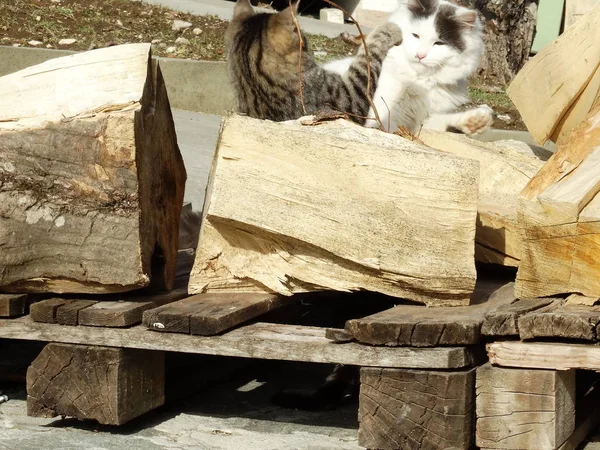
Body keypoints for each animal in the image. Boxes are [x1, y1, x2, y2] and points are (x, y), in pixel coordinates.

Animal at [324, 0, 492, 134]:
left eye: (439, 43)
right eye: (415, 35)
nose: (420, 55)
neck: (419, 83)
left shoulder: (421, 121)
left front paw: (477, 121)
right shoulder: (380, 116)